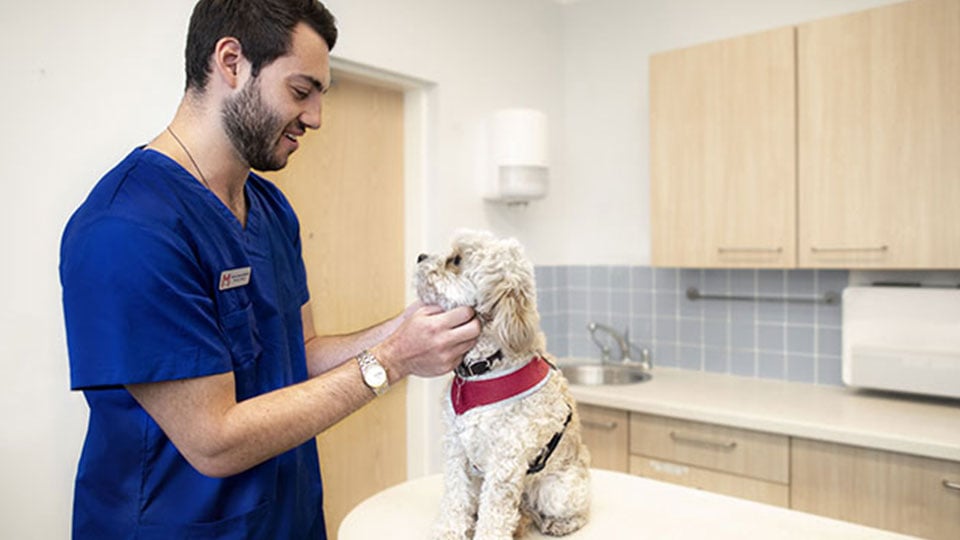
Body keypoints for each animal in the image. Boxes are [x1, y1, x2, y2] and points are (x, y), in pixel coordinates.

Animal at [416, 231, 588, 540]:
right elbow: (454, 500)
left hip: (558, 488)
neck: (481, 370)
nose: (420, 256)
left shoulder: (505, 461)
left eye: (456, 260)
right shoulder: (456, 450)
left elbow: (495, 513)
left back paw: (559, 523)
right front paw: (449, 532)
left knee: (575, 510)